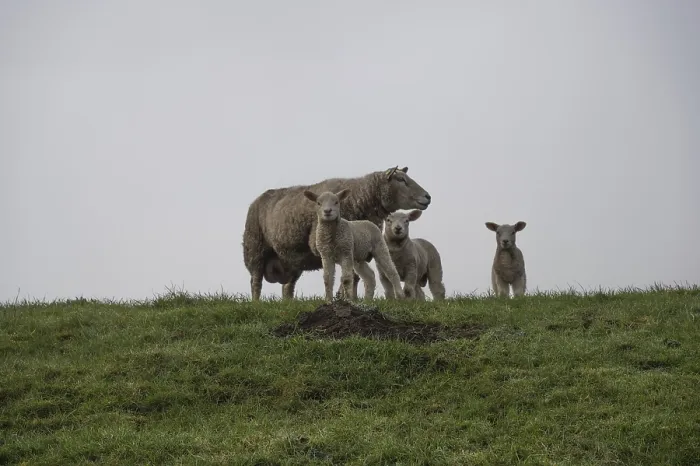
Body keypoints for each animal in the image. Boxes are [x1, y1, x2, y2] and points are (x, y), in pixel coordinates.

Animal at [242, 166, 432, 301]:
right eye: (401, 179)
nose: (428, 197)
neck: (360, 197)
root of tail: (257, 200)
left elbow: (354, 276)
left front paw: (350, 297)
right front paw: (343, 296)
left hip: (292, 261)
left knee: (287, 287)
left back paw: (288, 304)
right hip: (255, 248)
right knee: (255, 281)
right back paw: (256, 303)